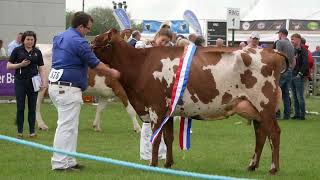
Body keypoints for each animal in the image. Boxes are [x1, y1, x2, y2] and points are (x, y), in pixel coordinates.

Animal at [92, 29, 288, 174]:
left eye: (96, 41)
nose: (87, 46)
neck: (140, 64)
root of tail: (272, 51)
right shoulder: (167, 110)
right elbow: (168, 138)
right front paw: (168, 164)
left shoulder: (155, 107)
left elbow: (156, 139)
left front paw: (153, 165)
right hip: (254, 108)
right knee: (261, 134)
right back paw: (252, 165)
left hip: (264, 104)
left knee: (274, 133)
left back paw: (273, 168)